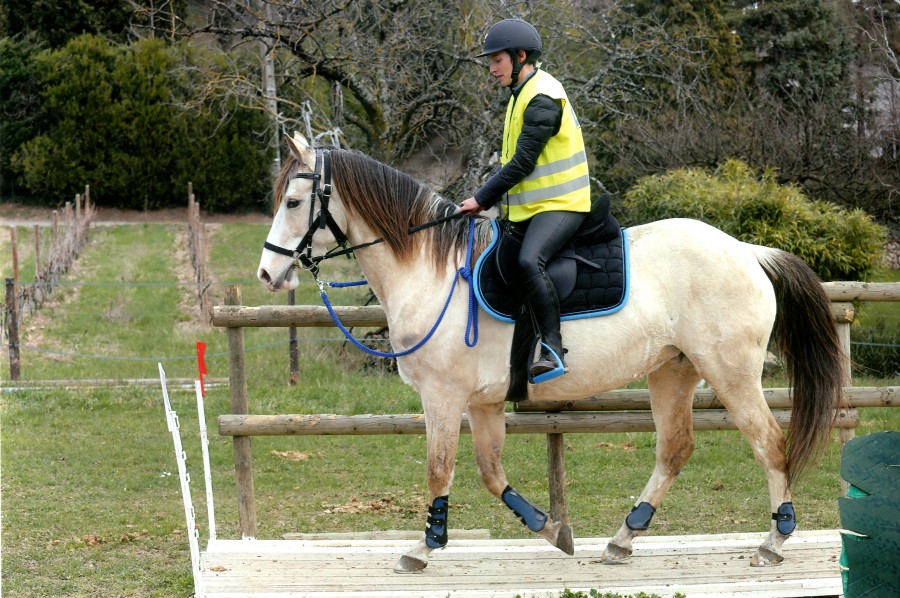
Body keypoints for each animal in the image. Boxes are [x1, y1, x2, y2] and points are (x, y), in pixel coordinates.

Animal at [257, 132, 845, 574]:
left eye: (293, 202)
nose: (268, 273)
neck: (433, 273)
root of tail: (747, 250)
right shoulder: (483, 403)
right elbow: (491, 473)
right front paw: (550, 529)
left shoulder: (443, 398)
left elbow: (439, 470)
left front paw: (423, 547)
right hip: (672, 372)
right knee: (675, 450)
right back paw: (623, 537)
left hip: (731, 374)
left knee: (769, 443)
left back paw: (774, 540)